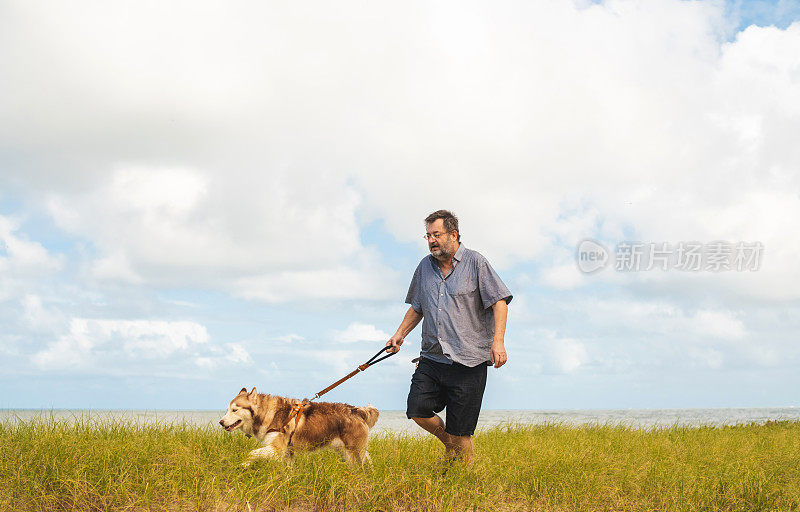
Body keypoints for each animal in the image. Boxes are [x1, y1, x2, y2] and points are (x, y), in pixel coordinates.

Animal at [219, 386, 382, 466]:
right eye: (227, 409)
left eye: (234, 410)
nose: (221, 422)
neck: (268, 413)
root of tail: (358, 410)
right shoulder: (288, 454)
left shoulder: (277, 448)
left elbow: (251, 453)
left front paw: (244, 464)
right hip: (345, 452)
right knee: (368, 460)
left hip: (353, 452)